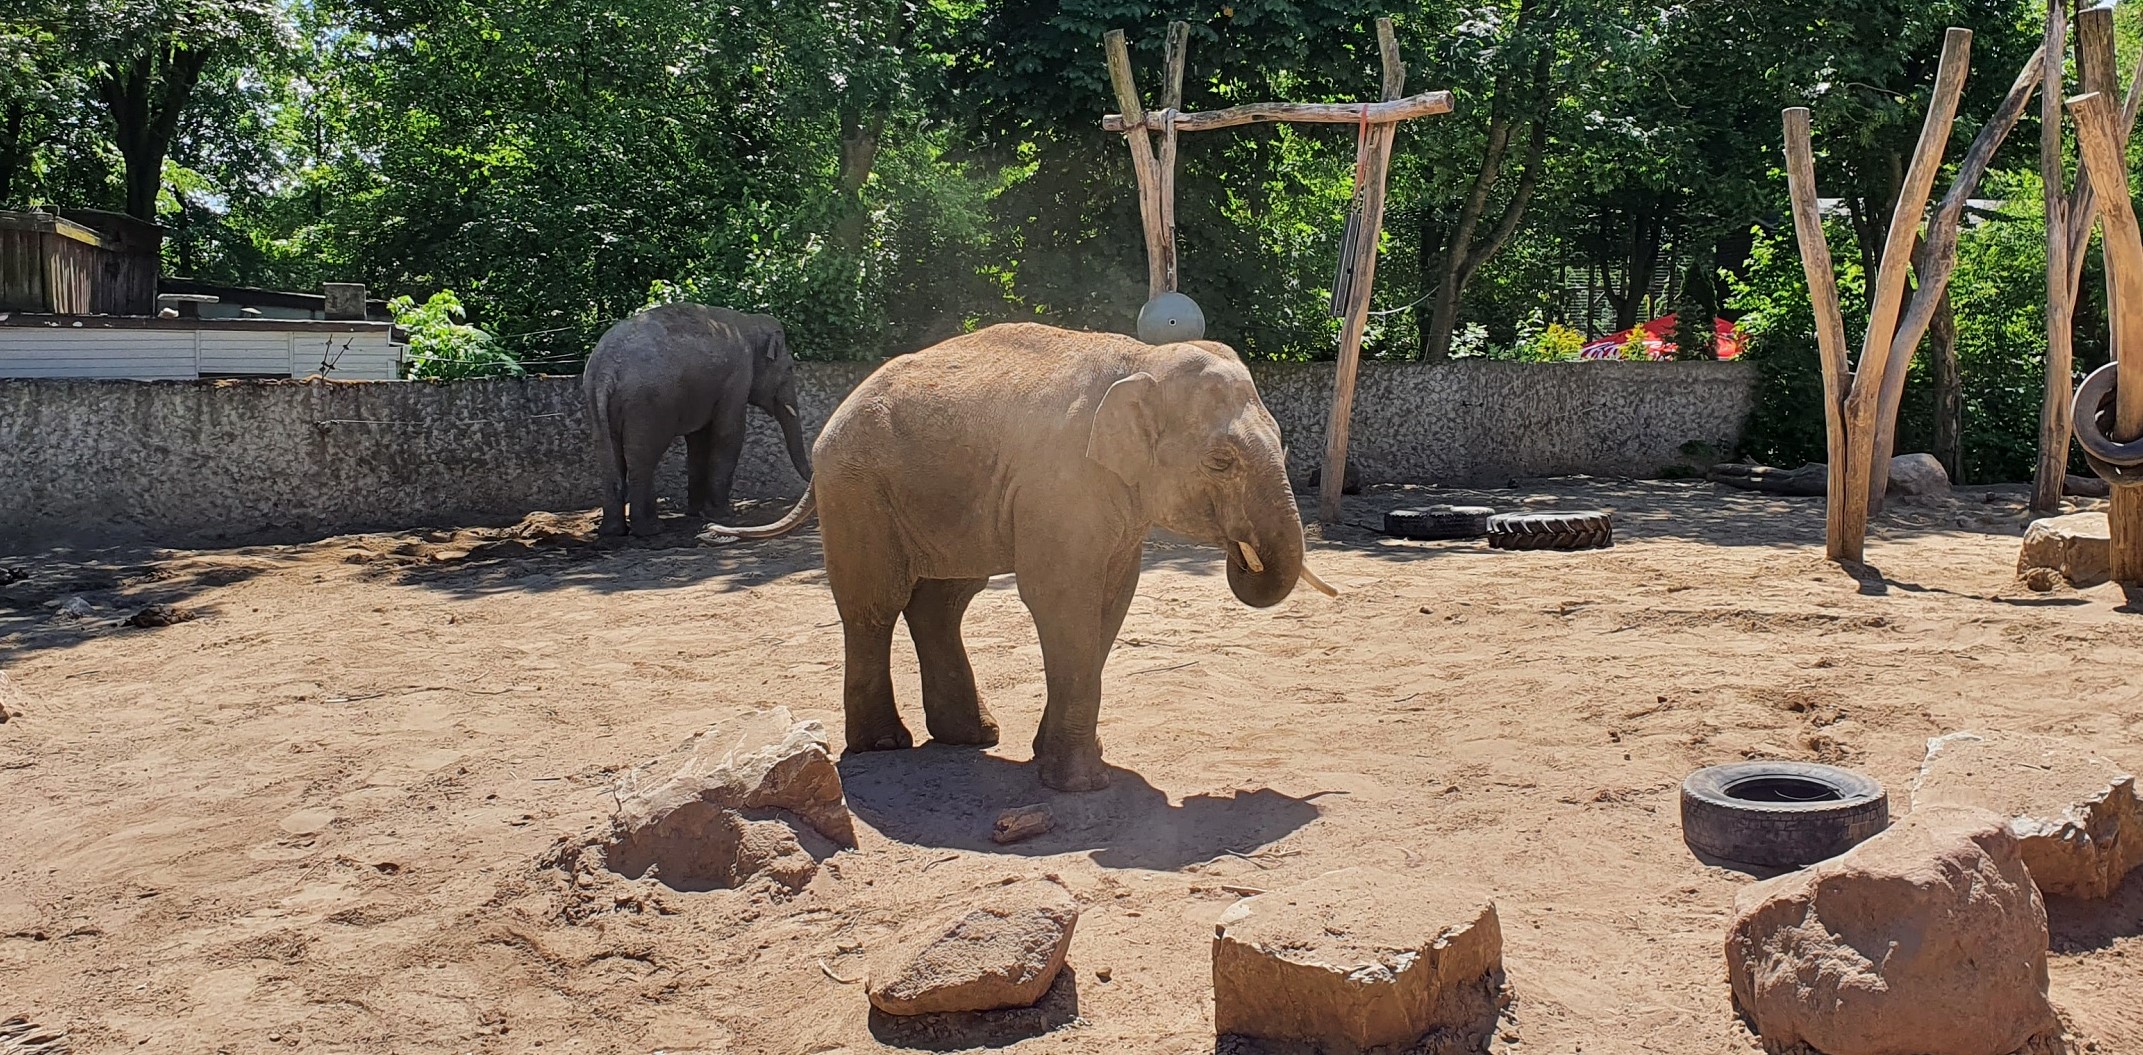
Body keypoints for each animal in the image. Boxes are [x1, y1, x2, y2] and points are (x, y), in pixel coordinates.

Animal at [582, 302, 814, 536]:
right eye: (790, 368)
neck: (750, 322)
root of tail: (606, 370)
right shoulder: (738, 375)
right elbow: (729, 433)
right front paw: (723, 515)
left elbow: (698, 440)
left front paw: (696, 513)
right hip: (646, 405)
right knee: (642, 458)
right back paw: (650, 529)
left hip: (597, 402)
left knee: (609, 457)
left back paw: (612, 531)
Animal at [711, 321, 1328, 789]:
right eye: (1222, 461)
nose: (1242, 552)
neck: (1142, 358)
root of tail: (833, 419)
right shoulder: (1060, 487)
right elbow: (1062, 600)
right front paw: (1080, 784)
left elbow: (1109, 603)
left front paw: (1060, 758)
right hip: (857, 491)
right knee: (874, 606)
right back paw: (885, 745)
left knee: (942, 603)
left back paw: (973, 737)